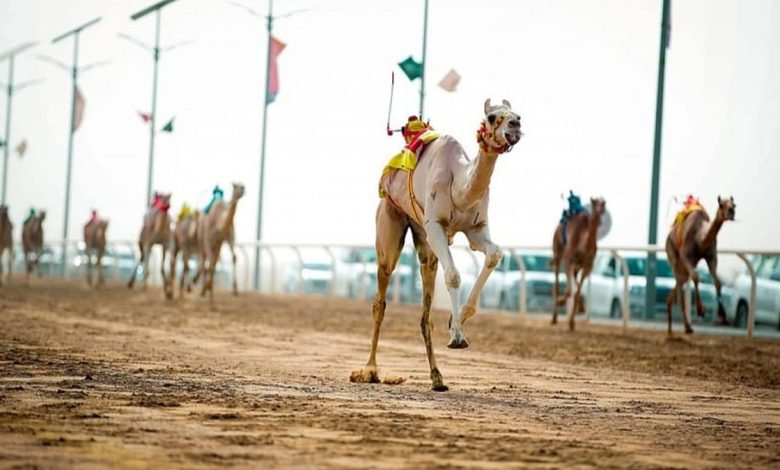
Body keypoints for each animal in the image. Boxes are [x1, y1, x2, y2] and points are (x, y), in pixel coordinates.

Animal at [354, 97, 524, 392]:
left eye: (516, 114)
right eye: (492, 117)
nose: (515, 126)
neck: (460, 185)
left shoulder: (476, 229)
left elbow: (494, 254)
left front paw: (458, 321)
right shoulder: (435, 226)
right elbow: (454, 275)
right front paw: (457, 337)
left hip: (424, 245)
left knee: (425, 313)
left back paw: (437, 377)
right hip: (390, 221)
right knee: (380, 299)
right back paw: (370, 370)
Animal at [668, 196, 736, 336]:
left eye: (734, 204)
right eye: (721, 205)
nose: (731, 212)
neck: (700, 238)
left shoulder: (711, 256)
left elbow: (717, 282)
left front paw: (723, 317)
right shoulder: (685, 255)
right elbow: (696, 277)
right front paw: (701, 310)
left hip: (686, 266)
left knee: (679, 283)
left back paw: (675, 327)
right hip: (673, 256)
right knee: (679, 284)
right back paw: (687, 327)